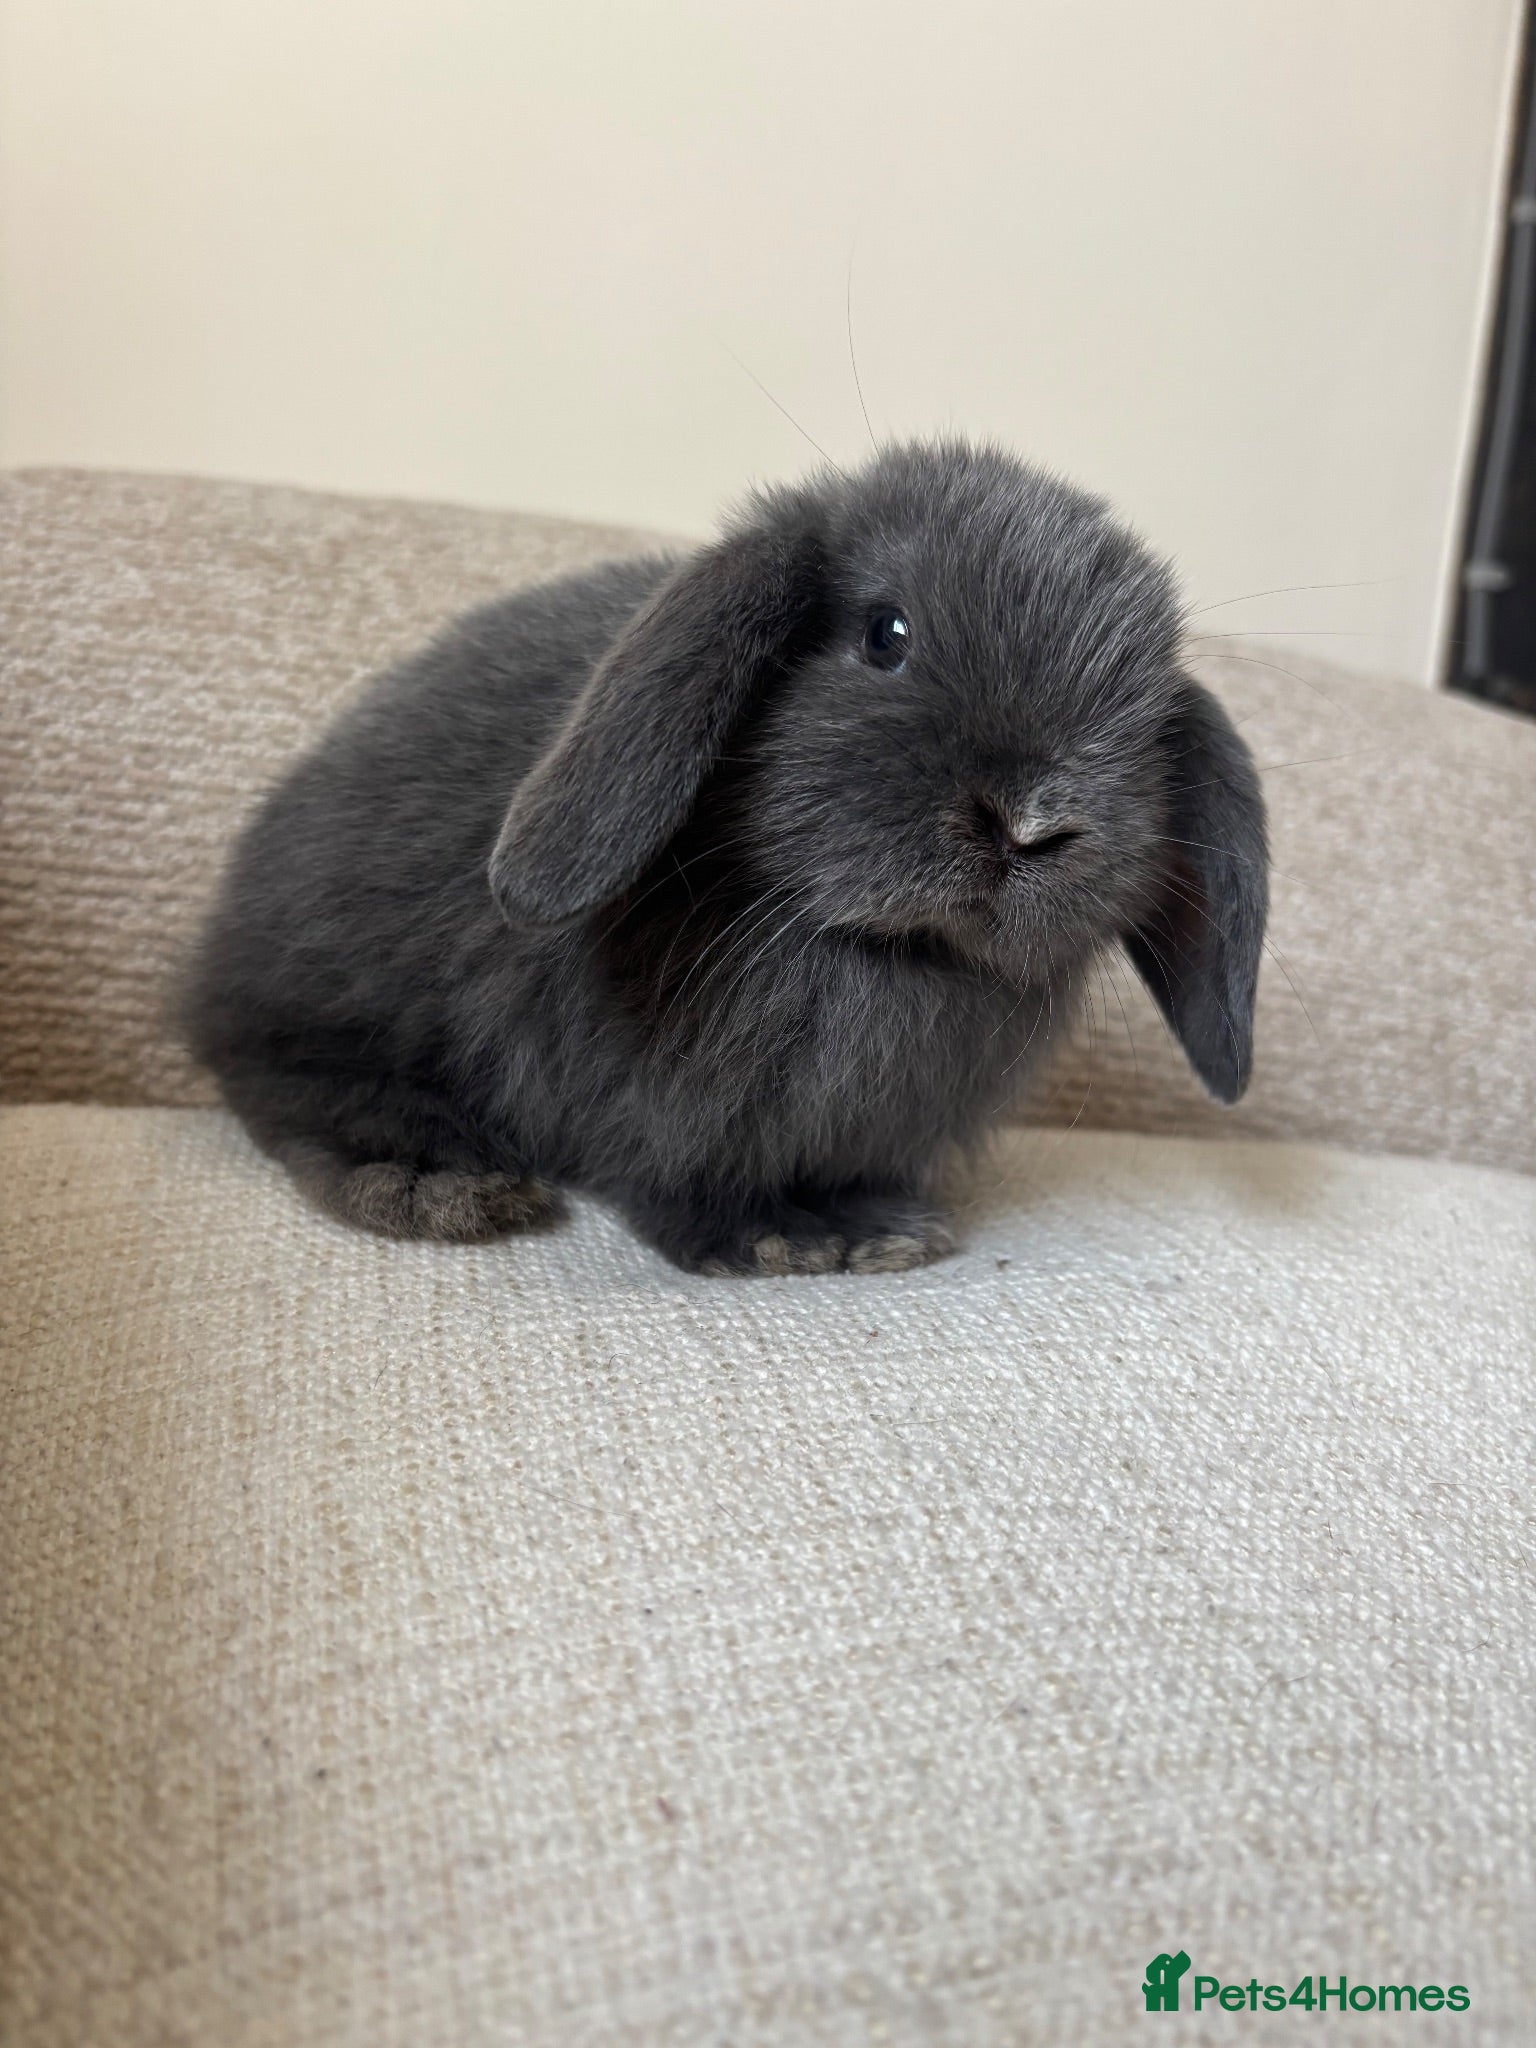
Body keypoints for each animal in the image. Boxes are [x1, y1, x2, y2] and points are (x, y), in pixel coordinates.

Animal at [185, 438, 1268, 1275]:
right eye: (887, 634)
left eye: (1146, 728)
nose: (1035, 822)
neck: (873, 958)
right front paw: (782, 1240)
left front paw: (866, 1227)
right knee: (286, 1083)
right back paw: (432, 1180)